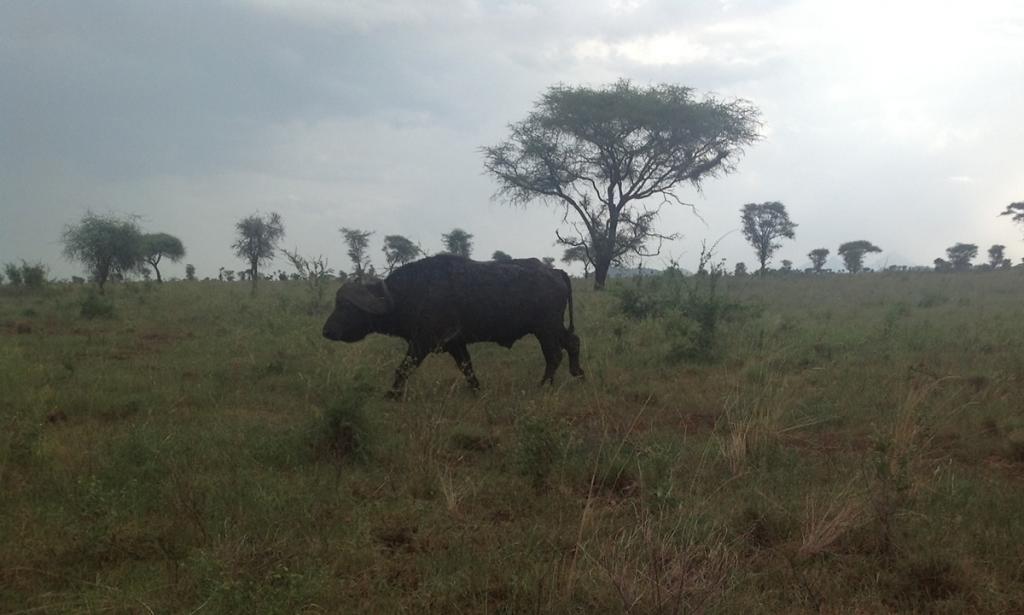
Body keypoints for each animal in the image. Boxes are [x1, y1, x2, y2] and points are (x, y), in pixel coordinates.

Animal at [323, 252, 589, 392]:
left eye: (346, 307)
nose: (326, 330)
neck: (409, 293)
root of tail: (555, 272)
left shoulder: (423, 342)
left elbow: (403, 368)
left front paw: (392, 395)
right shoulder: (456, 344)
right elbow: (467, 368)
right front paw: (477, 391)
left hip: (545, 329)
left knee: (554, 355)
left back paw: (544, 385)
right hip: (553, 327)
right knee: (573, 342)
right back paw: (578, 374)